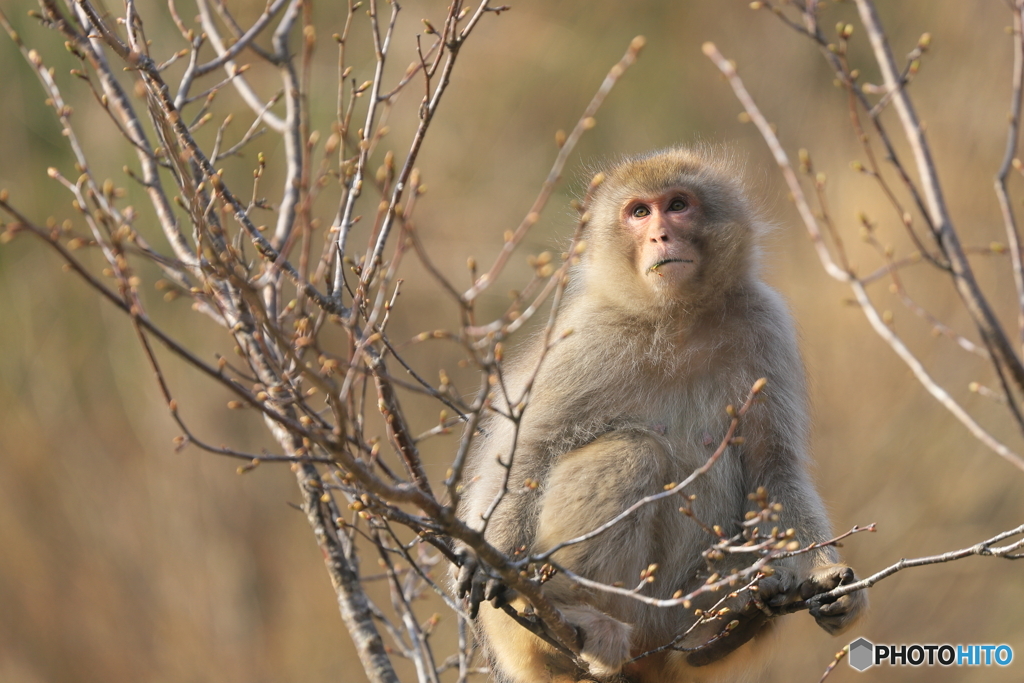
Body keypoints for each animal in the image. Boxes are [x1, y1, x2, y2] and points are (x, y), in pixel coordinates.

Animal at [454, 147, 864, 679]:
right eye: (639, 213)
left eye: (678, 205)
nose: (660, 235)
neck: (677, 319)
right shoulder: (587, 336)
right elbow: (526, 452)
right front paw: (488, 557)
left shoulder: (764, 323)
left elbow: (774, 469)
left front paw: (829, 580)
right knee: (632, 453)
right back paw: (571, 619)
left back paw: (727, 628)